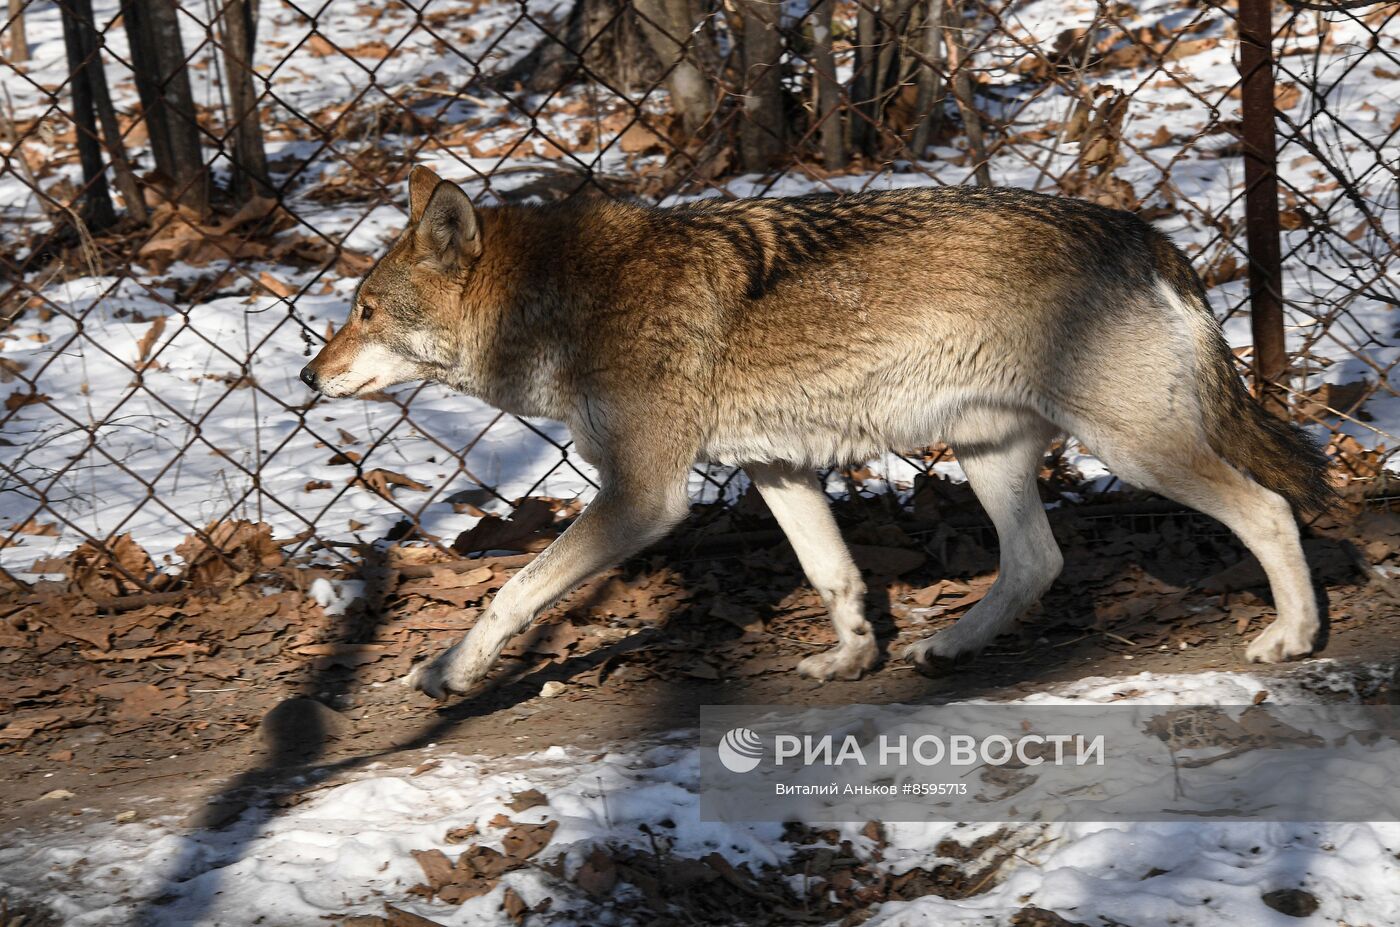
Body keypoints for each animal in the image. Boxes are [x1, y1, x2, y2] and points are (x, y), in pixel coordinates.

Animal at [301, 168, 1327, 705]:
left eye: (363, 312)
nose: (309, 377)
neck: (561, 301)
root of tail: (1143, 231)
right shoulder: (777, 467)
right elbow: (832, 572)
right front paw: (851, 656)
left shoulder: (641, 497)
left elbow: (512, 590)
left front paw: (446, 670)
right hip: (991, 456)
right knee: (1037, 562)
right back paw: (947, 649)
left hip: (1134, 449)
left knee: (1270, 508)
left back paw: (1290, 634)